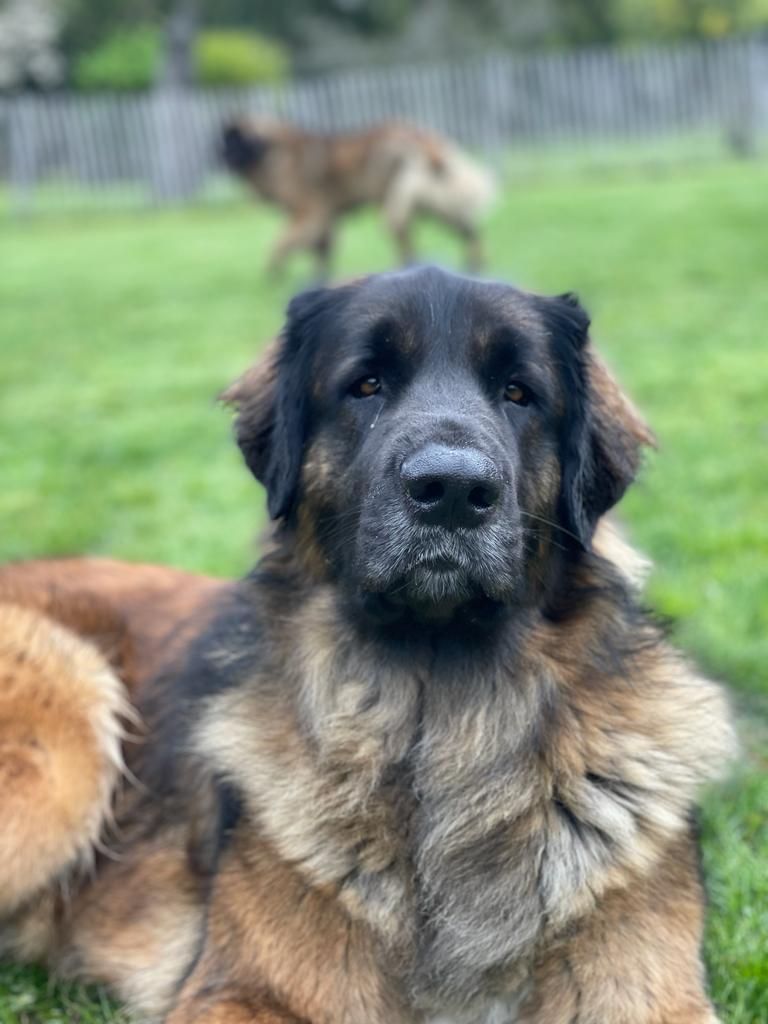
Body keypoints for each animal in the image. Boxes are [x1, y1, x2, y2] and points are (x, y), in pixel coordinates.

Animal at [0, 267, 735, 1023]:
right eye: (366, 385)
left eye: (518, 393)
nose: (452, 491)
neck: (441, 714)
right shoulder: (239, 993)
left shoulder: (649, 996)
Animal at [221, 118, 496, 275]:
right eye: (224, 144)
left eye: (238, 144)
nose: (222, 157)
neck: (276, 153)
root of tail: (420, 135)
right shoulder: (325, 217)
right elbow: (322, 248)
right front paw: (319, 274)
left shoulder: (310, 212)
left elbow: (282, 242)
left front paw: (273, 271)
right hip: (429, 198)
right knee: (462, 227)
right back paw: (472, 262)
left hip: (403, 196)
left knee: (406, 234)